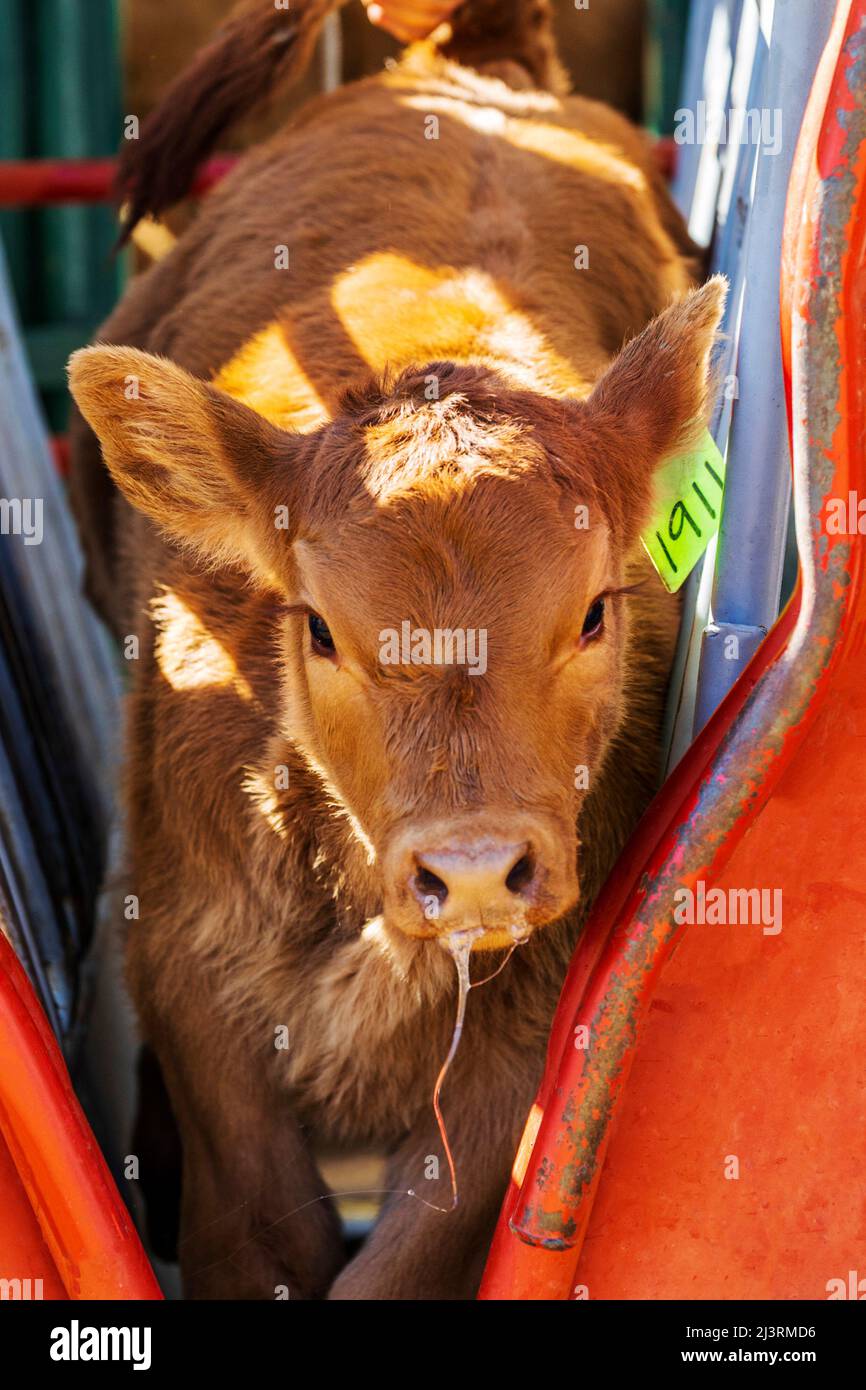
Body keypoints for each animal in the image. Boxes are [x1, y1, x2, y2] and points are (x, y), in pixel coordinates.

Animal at [67, 2, 722, 1301]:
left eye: (594, 612)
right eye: (320, 627)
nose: (469, 870)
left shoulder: (523, 1038)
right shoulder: (190, 972)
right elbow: (260, 1234)